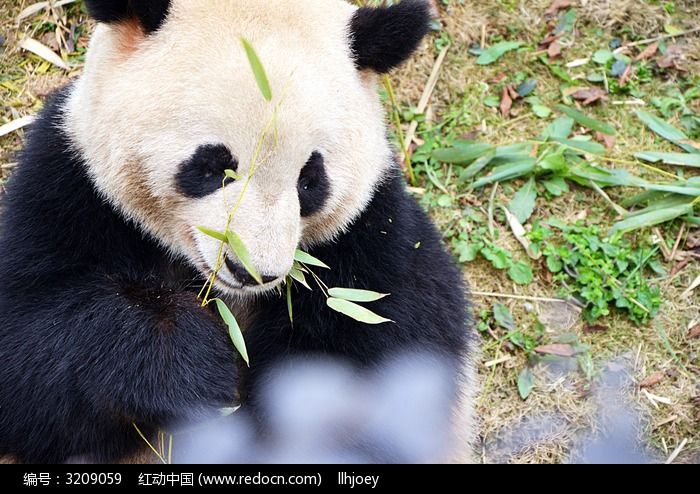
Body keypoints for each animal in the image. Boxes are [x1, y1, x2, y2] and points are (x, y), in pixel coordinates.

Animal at [0, 0, 478, 464]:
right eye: (213, 165)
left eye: (310, 180)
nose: (252, 271)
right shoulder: (70, 186)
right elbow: (31, 347)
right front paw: (188, 358)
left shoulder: (373, 240)